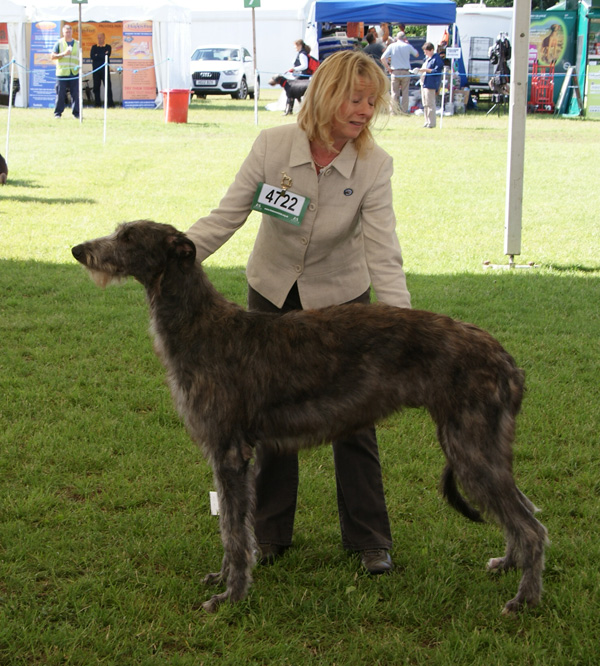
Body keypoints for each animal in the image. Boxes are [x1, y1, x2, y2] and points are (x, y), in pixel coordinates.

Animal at [71, 220, 548, 616]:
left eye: (129, 237)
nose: (77, 249)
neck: (201, 325)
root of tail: (507, 361)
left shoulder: (228, 452)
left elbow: (232, 532)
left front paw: (231, 596)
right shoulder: (235, 455)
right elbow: (232, 527)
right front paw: (224, 579)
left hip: (470, 446)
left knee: (531, 527)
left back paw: (524, 599)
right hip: (475, 444)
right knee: (525, 512)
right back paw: (509, 564)